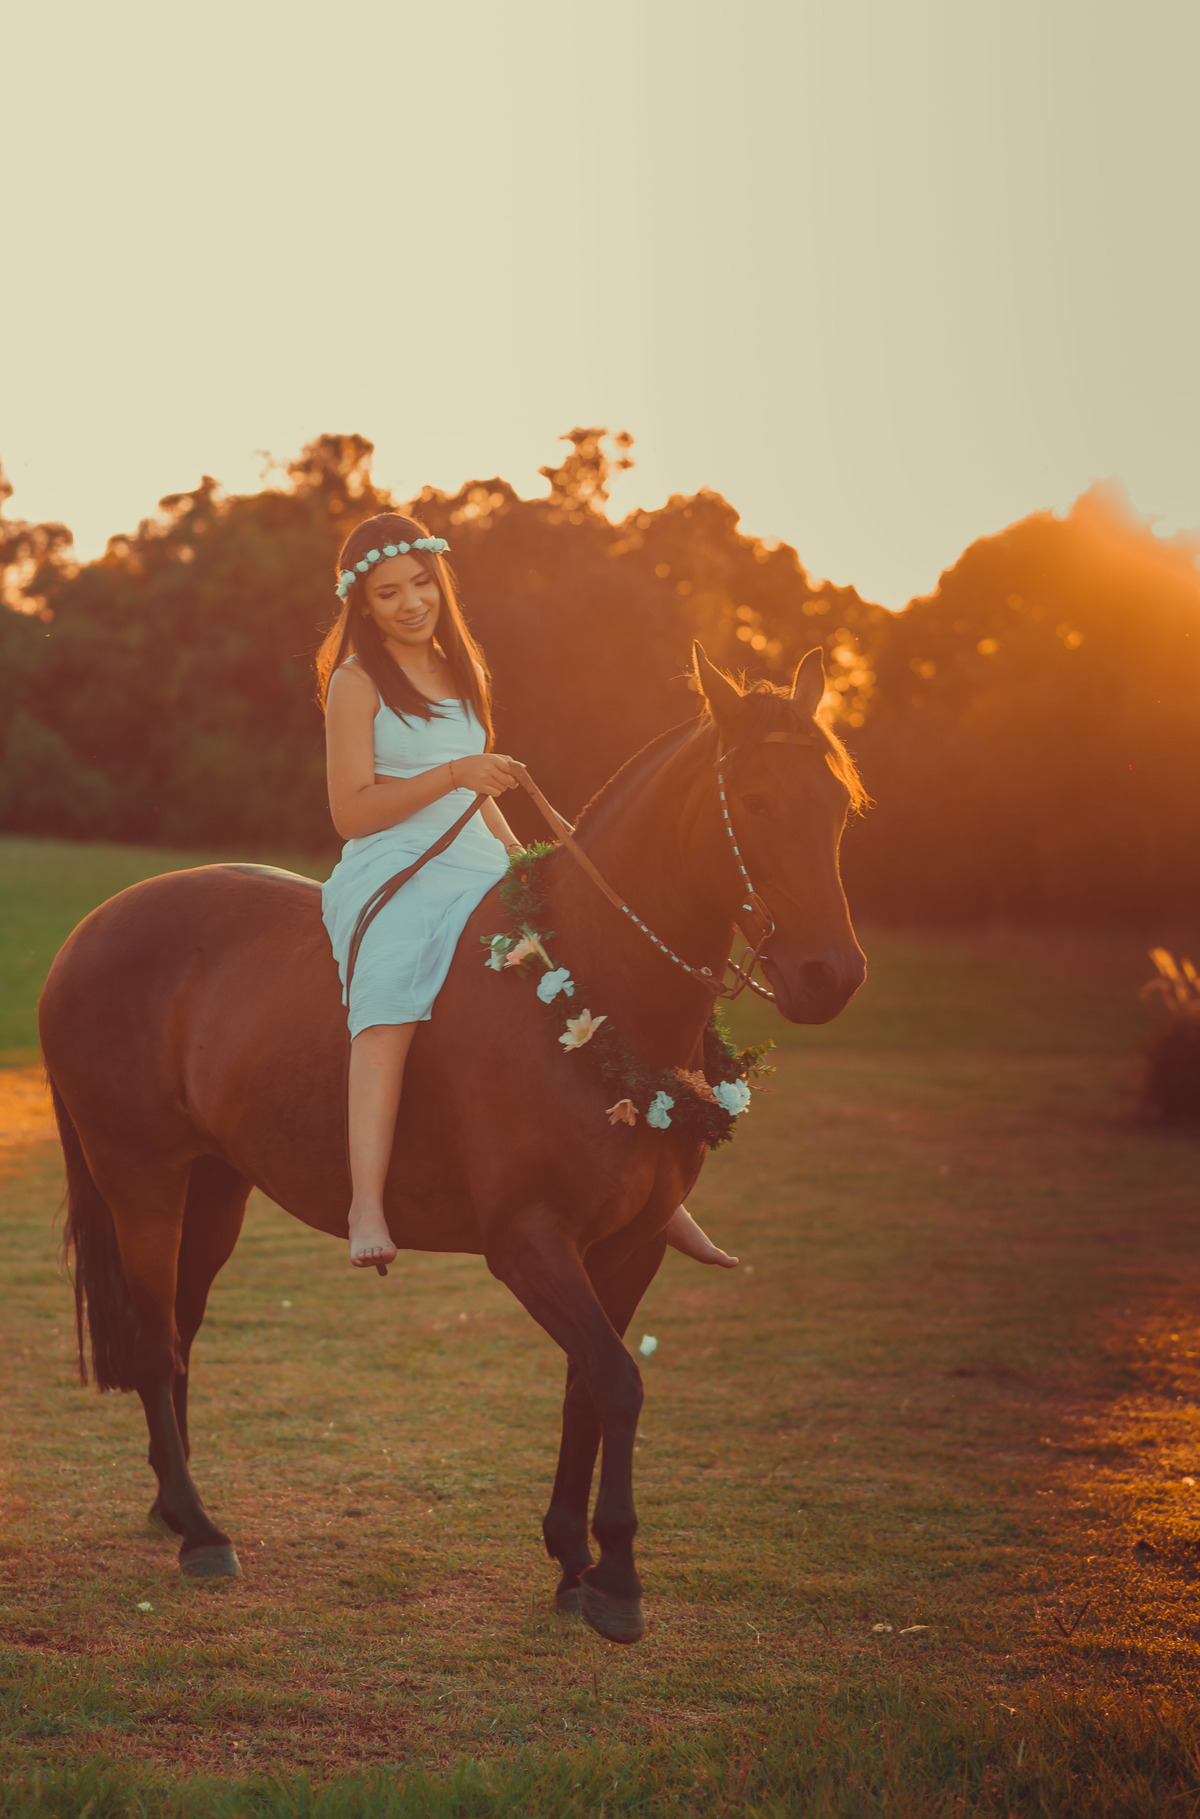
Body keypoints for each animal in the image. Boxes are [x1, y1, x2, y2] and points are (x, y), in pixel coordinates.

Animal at [39, 645, 866, 1645]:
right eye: (754, 800)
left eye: (839, 800)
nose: (831, 975)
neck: (595, 983)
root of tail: (89, 930)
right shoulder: (530, 1246)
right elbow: (620, 1381)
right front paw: (617, 1578)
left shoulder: (627, 1249)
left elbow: (589, 1385)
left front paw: (572, 1561)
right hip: (144, 1182)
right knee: (155, 1337)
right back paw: (200, 1530)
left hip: (215, 1187)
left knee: (180, 1330)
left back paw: (173, 1502)